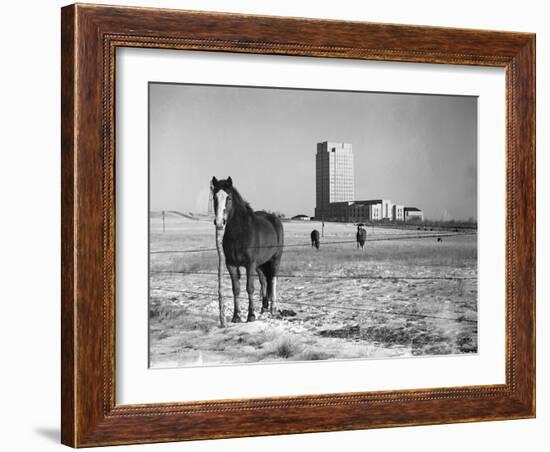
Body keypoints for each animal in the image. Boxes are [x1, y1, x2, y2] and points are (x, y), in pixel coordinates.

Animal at [211, 176, 284, 322]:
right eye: (214, 197)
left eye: (229, 198)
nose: (220, 222)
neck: (239, 233)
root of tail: (274, 218)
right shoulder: (231, 265)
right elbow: (236, 289)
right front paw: (236, 316)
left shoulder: (250, 264)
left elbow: (250, 288)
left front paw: (251, 315)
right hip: (260, 264)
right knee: (264, 281)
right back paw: (264, 308)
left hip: (275, 259)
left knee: (273, 280)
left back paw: (272, 308)